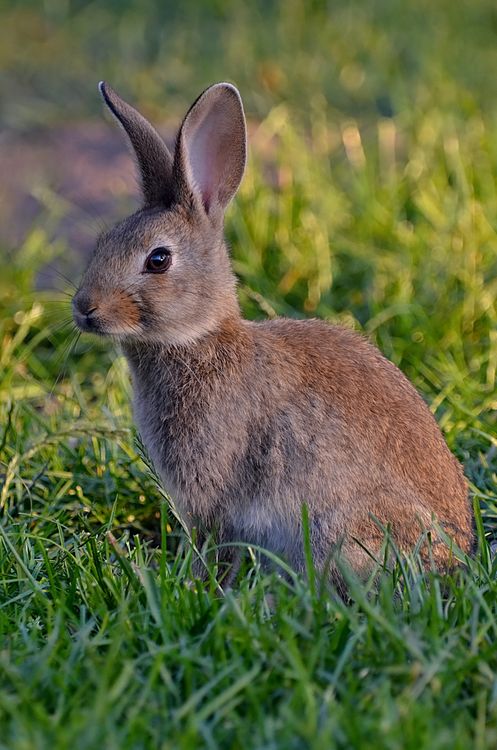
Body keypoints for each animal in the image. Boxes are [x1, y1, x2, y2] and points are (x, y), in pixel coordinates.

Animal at [72, 80, 474, 587]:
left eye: (158, 260)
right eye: (103, 243)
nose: (84, 308)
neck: (200, 339)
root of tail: (451, 560)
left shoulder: (214, 495)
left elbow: (213, 544)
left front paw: (200, 584)